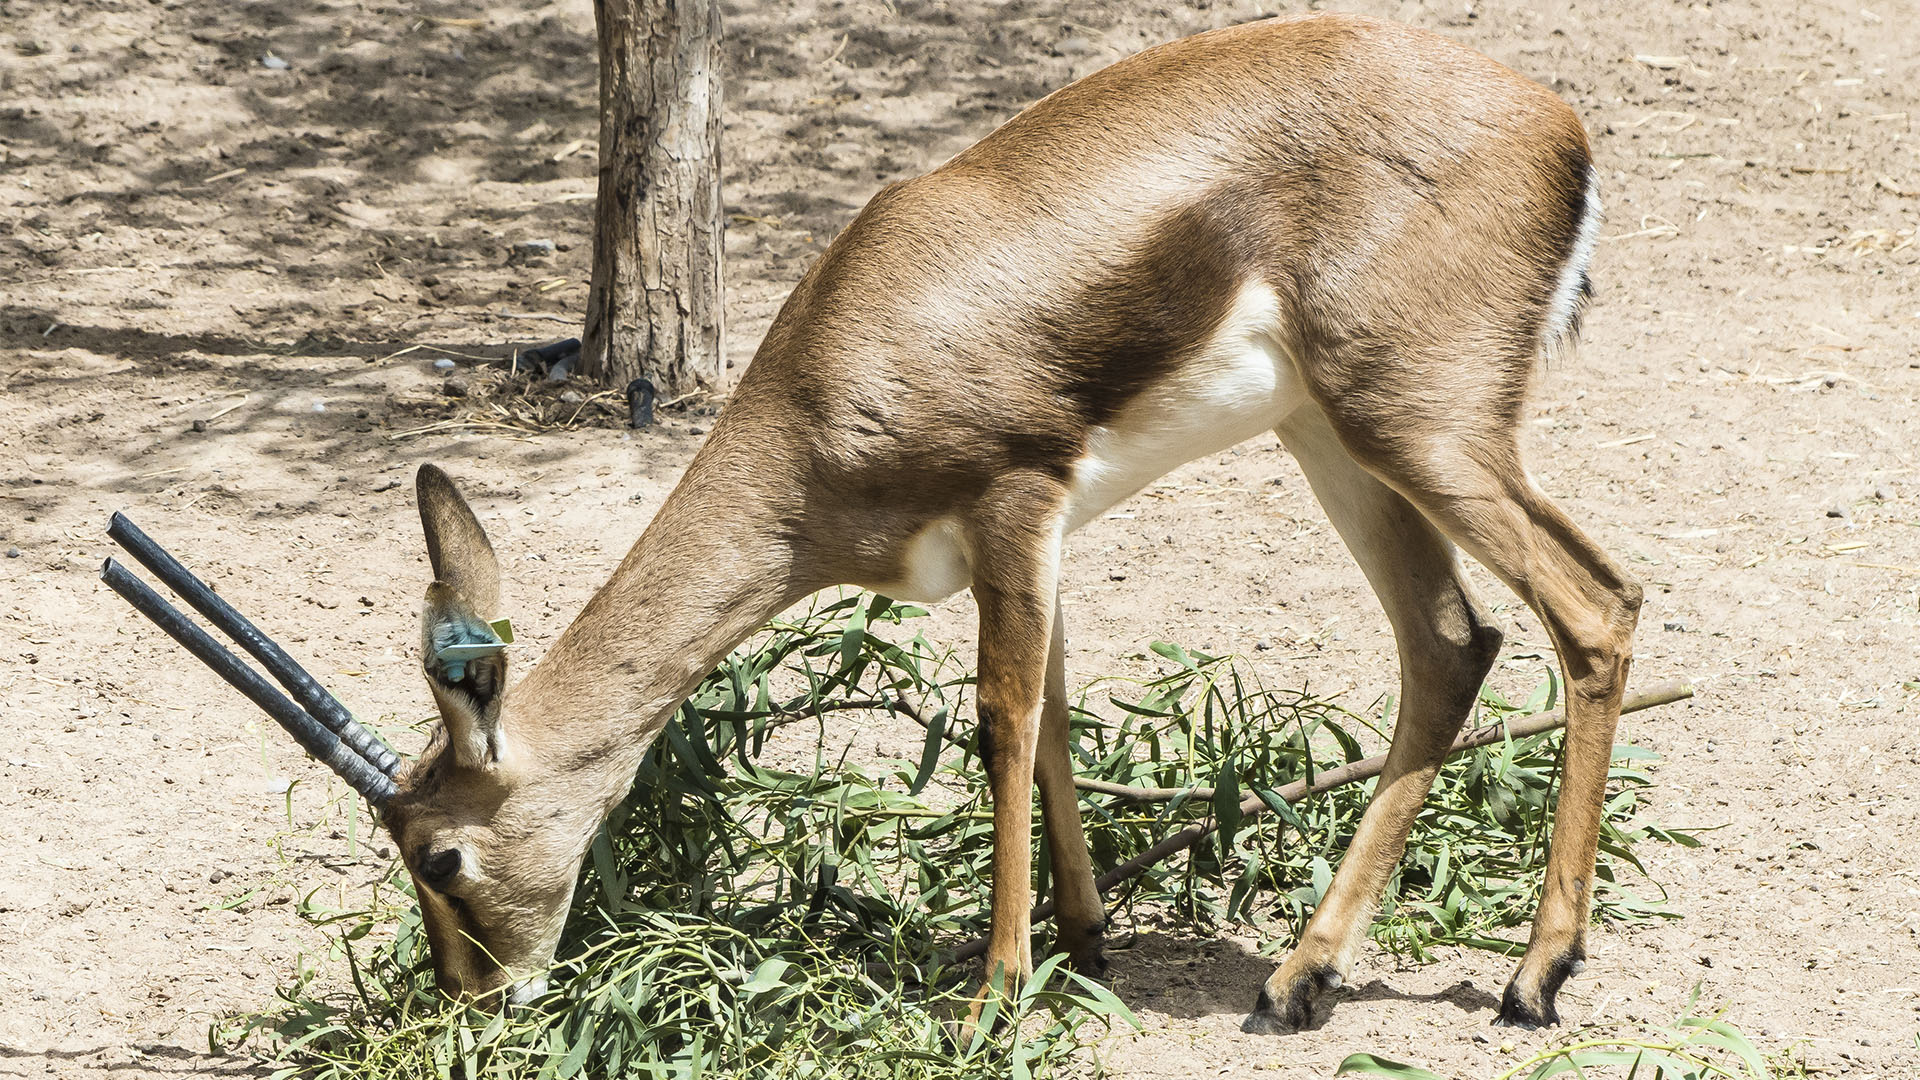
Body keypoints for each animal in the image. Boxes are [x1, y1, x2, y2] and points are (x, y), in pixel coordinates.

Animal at [263, 10, 1643, 1037]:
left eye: (441, 858)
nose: (474, 1001)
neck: (832, 378)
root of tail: (1556, 122)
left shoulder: (1014, 501)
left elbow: (1003, 726)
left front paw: (991, 998)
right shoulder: (1030, 542)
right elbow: (1055, 723)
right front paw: (1082, 945)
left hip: (1419, 433)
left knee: (1596, 607)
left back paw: (1534, 978)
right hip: (1333, 440)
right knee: (1451, 643)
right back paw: (1299, 978)